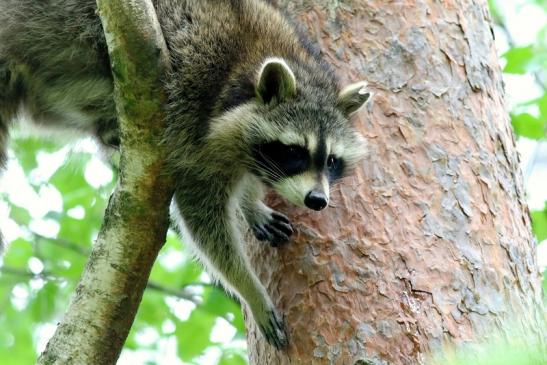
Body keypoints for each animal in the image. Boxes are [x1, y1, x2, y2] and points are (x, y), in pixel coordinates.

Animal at [0, 0, 370, 346]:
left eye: (332, 160)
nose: (317, 200)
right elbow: (202, 217)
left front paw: (250, 202)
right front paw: (249, 288)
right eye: (294, 152)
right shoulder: (192, 108)